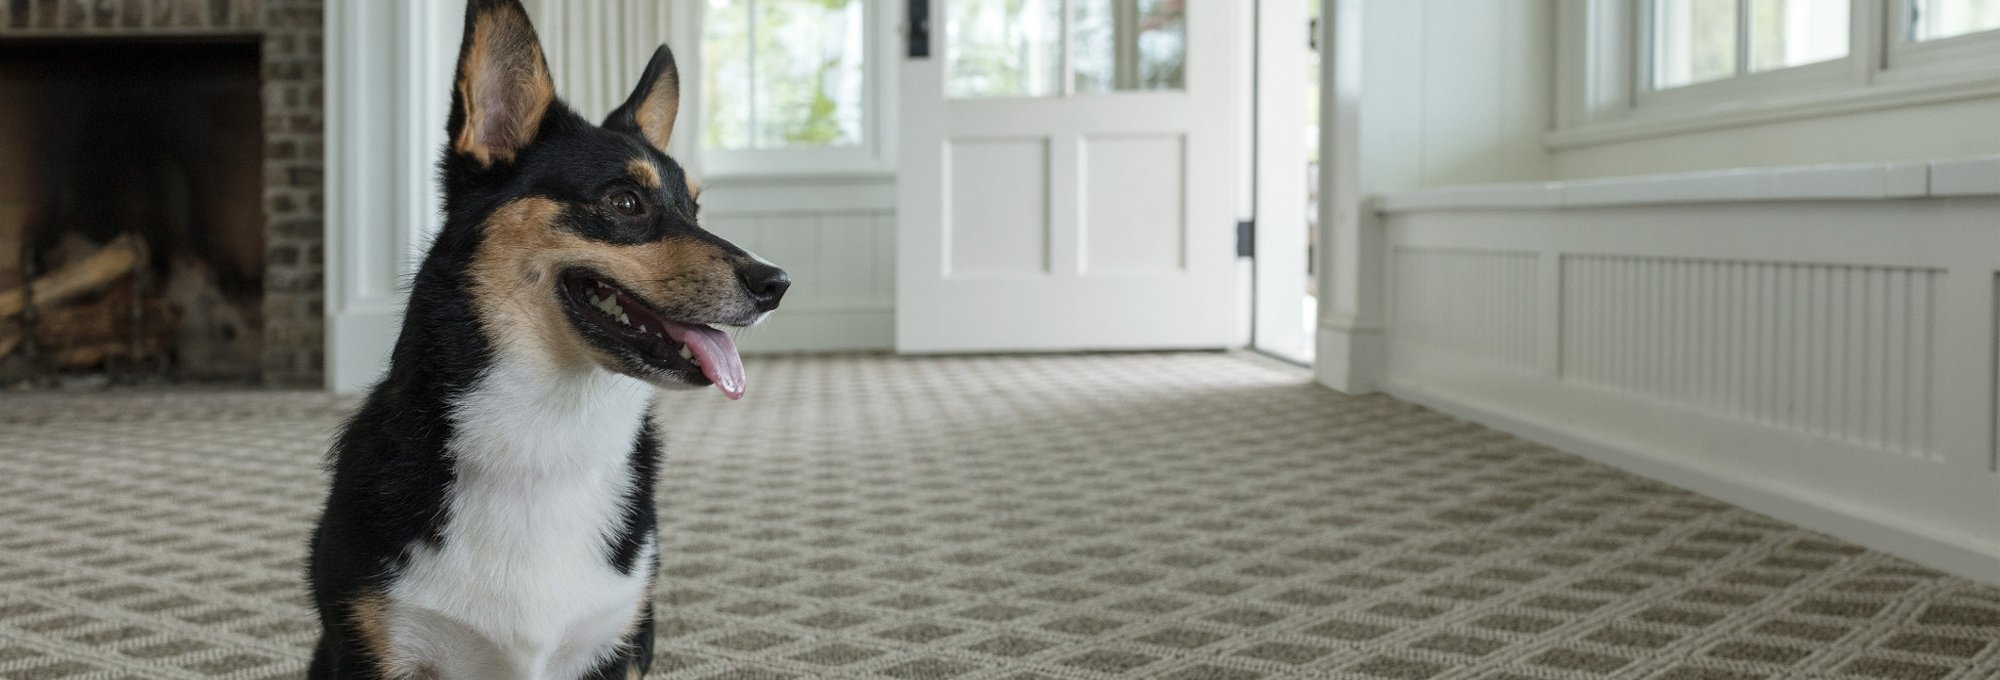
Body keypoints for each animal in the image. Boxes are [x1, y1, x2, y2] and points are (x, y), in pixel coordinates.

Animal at [304, 2, 788, 676]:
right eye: (625, 201)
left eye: (694, 209)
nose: (777, 284)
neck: (547, 435)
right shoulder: (374, 647)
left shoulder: (616, 642)